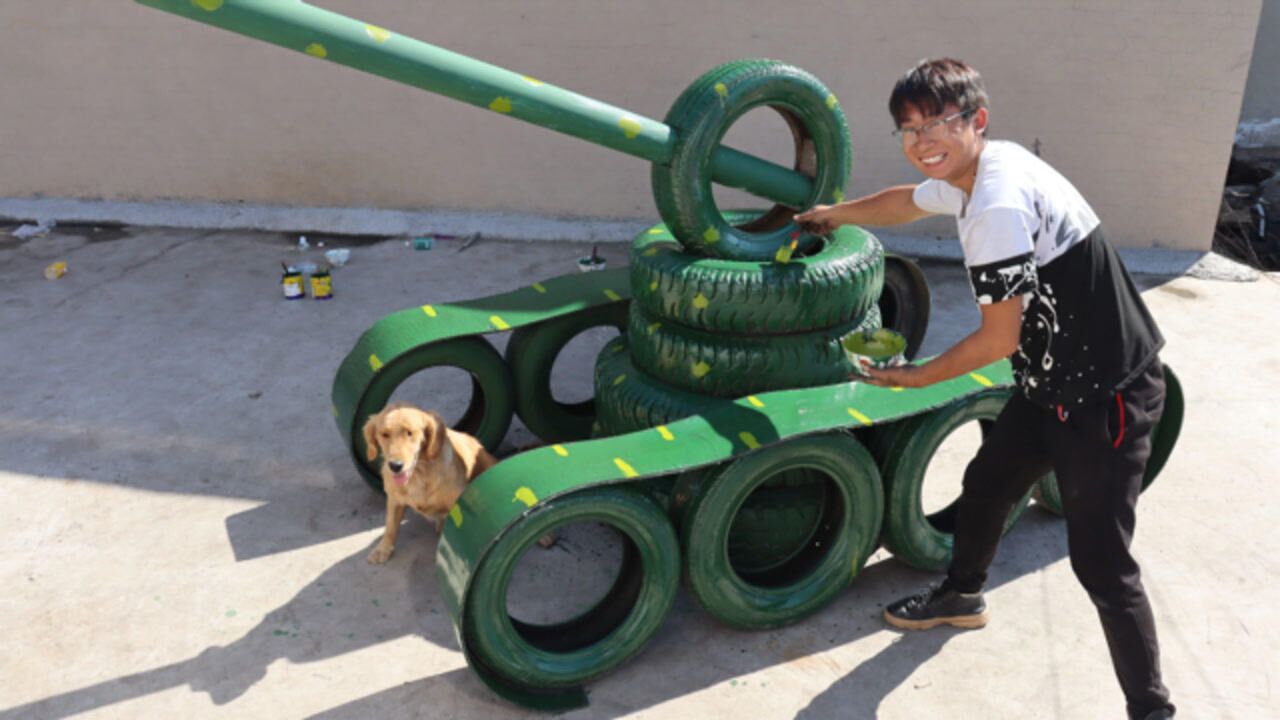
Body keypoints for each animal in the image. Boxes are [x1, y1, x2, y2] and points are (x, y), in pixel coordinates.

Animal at [362, 403, 496, 564]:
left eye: (409, 433)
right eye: (384, 434)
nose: (395, 466)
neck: (418, 474)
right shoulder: (394, 499)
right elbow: (390, 527)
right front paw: (383, 549)